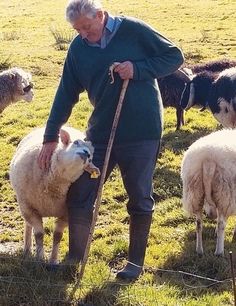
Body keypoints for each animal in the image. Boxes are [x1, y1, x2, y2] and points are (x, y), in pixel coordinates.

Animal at [9, 125, 100, 264]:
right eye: (76, 142)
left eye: (90, 159)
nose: (87, 153)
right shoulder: (29, 209)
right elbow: (39, 235)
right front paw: (40, 258)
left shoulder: (66, 214)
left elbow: (57, 236)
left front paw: (53, 260)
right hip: (24, 205)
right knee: (28, 225)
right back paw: (27, 249)